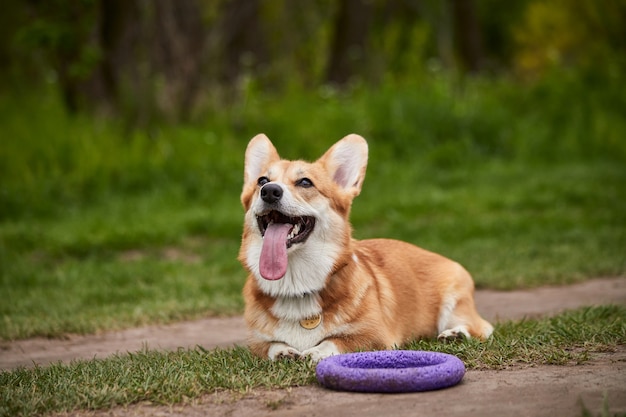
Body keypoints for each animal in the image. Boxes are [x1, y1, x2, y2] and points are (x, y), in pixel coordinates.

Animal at [239, 134, 492, 360]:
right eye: (262, 181)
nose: (270, 191)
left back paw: (456, 334)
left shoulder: (375, 336)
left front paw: (315, 352)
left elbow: (334, 341)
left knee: (481, 328)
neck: (296, 286)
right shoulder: (256, 342)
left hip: (454, 304)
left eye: (305, 182)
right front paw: (284, 352)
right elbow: (271, 345)